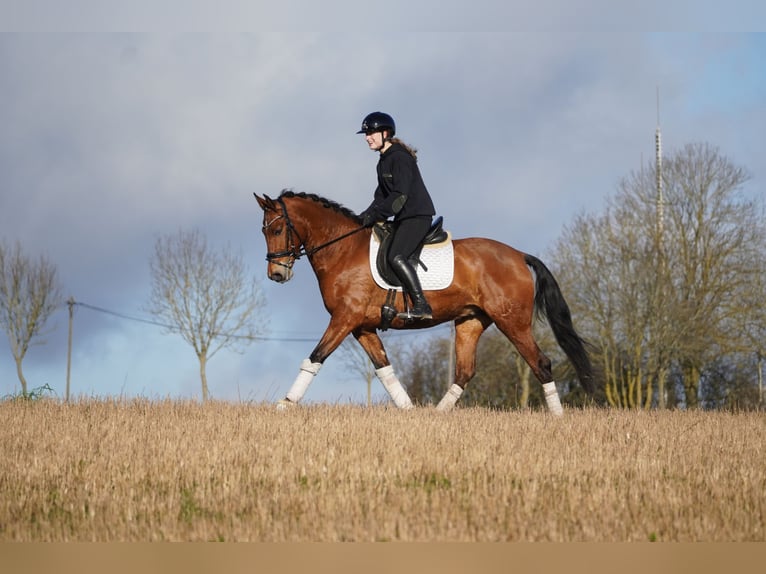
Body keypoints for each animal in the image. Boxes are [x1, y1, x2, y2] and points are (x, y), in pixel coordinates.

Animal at [255, 191, 596, 416]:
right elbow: (384, 368)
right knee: (464, 371)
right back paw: (437, 414)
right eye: (263, 231)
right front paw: (408, 410)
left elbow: (315, 357)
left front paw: (285, 403)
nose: (277, 274)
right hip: (470, 322)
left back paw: (557, 417)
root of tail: (518, 255)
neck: (343, 249)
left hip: (512, 321)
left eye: (277, 229)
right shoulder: (361, 327)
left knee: (541, 363)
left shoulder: (344, 319)